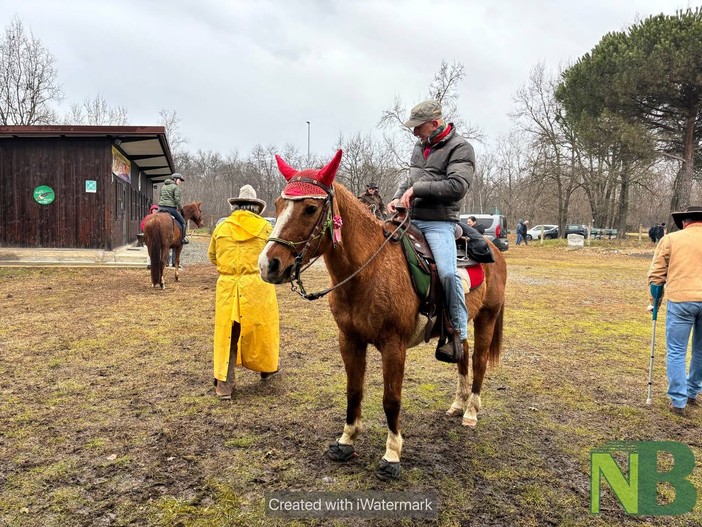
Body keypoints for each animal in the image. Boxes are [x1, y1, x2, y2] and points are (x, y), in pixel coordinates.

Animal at [258, 150, 506, 482]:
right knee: (462, 357)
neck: (368, 272)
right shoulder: (349, 340)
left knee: (478, 362)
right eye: (276, 205)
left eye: (310, 208)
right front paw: (346, 441)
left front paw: (391, 455)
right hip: (460, 323)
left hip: (487, 318)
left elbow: (391, 400)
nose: (267, 265)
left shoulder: (393, 346)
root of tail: (493, 247)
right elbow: (353, 391)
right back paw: (457, 404)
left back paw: (470, 412)